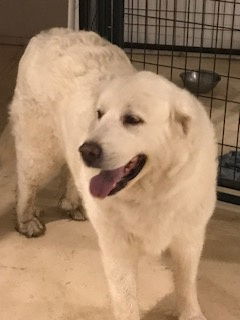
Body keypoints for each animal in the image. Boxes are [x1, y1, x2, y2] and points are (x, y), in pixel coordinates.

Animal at [7, 28, 218, 318]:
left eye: (132, 120)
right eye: (100, 114)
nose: (87, 150)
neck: (153, 192)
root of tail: (47, 34)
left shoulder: (189, 238)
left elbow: (186, 283)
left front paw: (191, 314)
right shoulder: (118, 248)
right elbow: (126, 298)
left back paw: (73, 204)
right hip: (41, 151)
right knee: (26, 182)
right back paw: (27, 220)